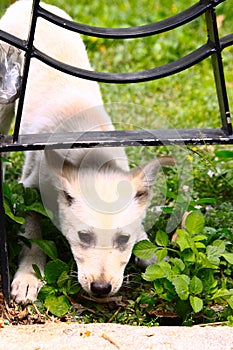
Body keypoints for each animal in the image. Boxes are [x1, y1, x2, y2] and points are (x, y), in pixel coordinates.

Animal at [0, 0, 174, 304]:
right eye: (84, 237)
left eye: (122, 240)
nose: (101, 289)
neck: (89, 153)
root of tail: (26, 4)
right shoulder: (29, 188)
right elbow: (33, 236)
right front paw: (29, 276)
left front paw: (155, 257)